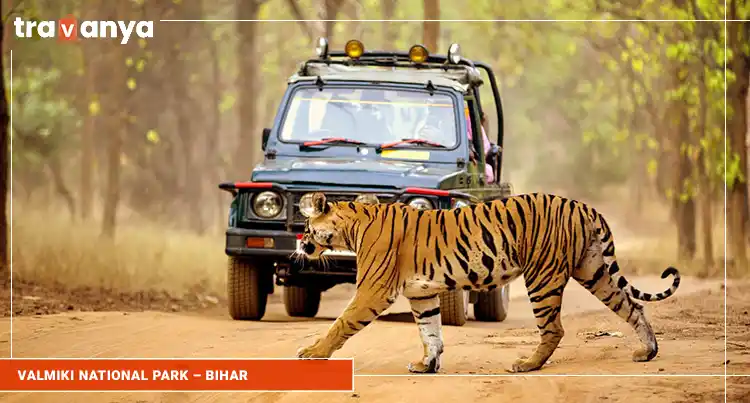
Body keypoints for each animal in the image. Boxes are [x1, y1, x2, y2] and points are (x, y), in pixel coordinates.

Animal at [292, 191, 680, 374]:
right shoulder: (422, 295)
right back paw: (648, 352)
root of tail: (582, 206)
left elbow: (341, 324)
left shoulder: (373, 290)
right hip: (594, 271)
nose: (299, 243)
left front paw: (312, 353)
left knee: (554, 328)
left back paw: (527, 365)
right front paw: (427, 365)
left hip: (542, 276)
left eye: (307, 227)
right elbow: (430, 332)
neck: (352, 226)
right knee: (632, 306)